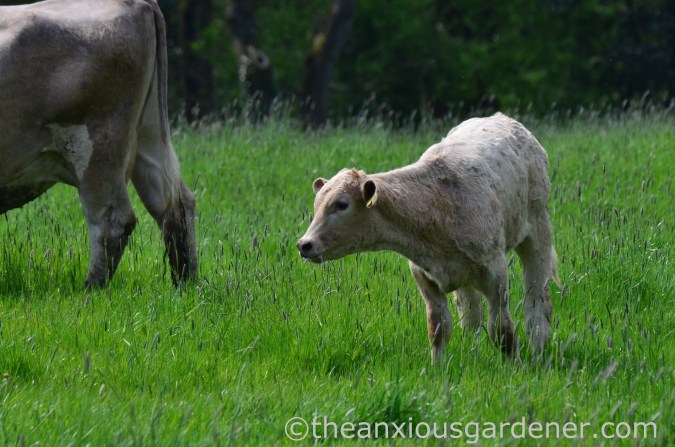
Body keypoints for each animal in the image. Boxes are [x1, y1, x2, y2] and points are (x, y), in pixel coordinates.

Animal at [0, 0, 197, 287]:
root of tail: (137, 2)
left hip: (99, 147)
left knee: (113, 221)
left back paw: (90, 289)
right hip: (148, 137)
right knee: (176, 205)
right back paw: (185, 283)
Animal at [297, 113, 559, 364]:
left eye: (341, 204)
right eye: (317, 204)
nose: (304, 244)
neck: (438, 204)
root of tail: (502, 118)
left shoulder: (496, 276)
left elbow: (502, 331)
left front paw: (515, 367)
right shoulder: (425, 277)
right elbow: (438, 328)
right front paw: (438, 368)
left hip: (538, 231)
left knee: (537, 301)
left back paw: (538, 351)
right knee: (471, 315)